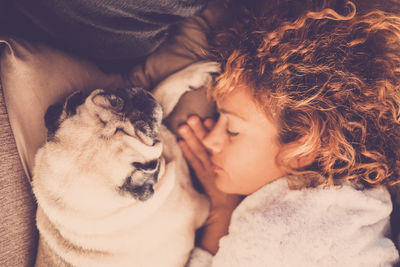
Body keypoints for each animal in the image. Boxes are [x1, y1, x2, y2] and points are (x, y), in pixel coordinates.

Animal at [32, 61, 220, 267]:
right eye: (142, 130)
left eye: (115, 100)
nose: (140, 109)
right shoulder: (198, 207)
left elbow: (161, 91)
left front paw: (194, 73)